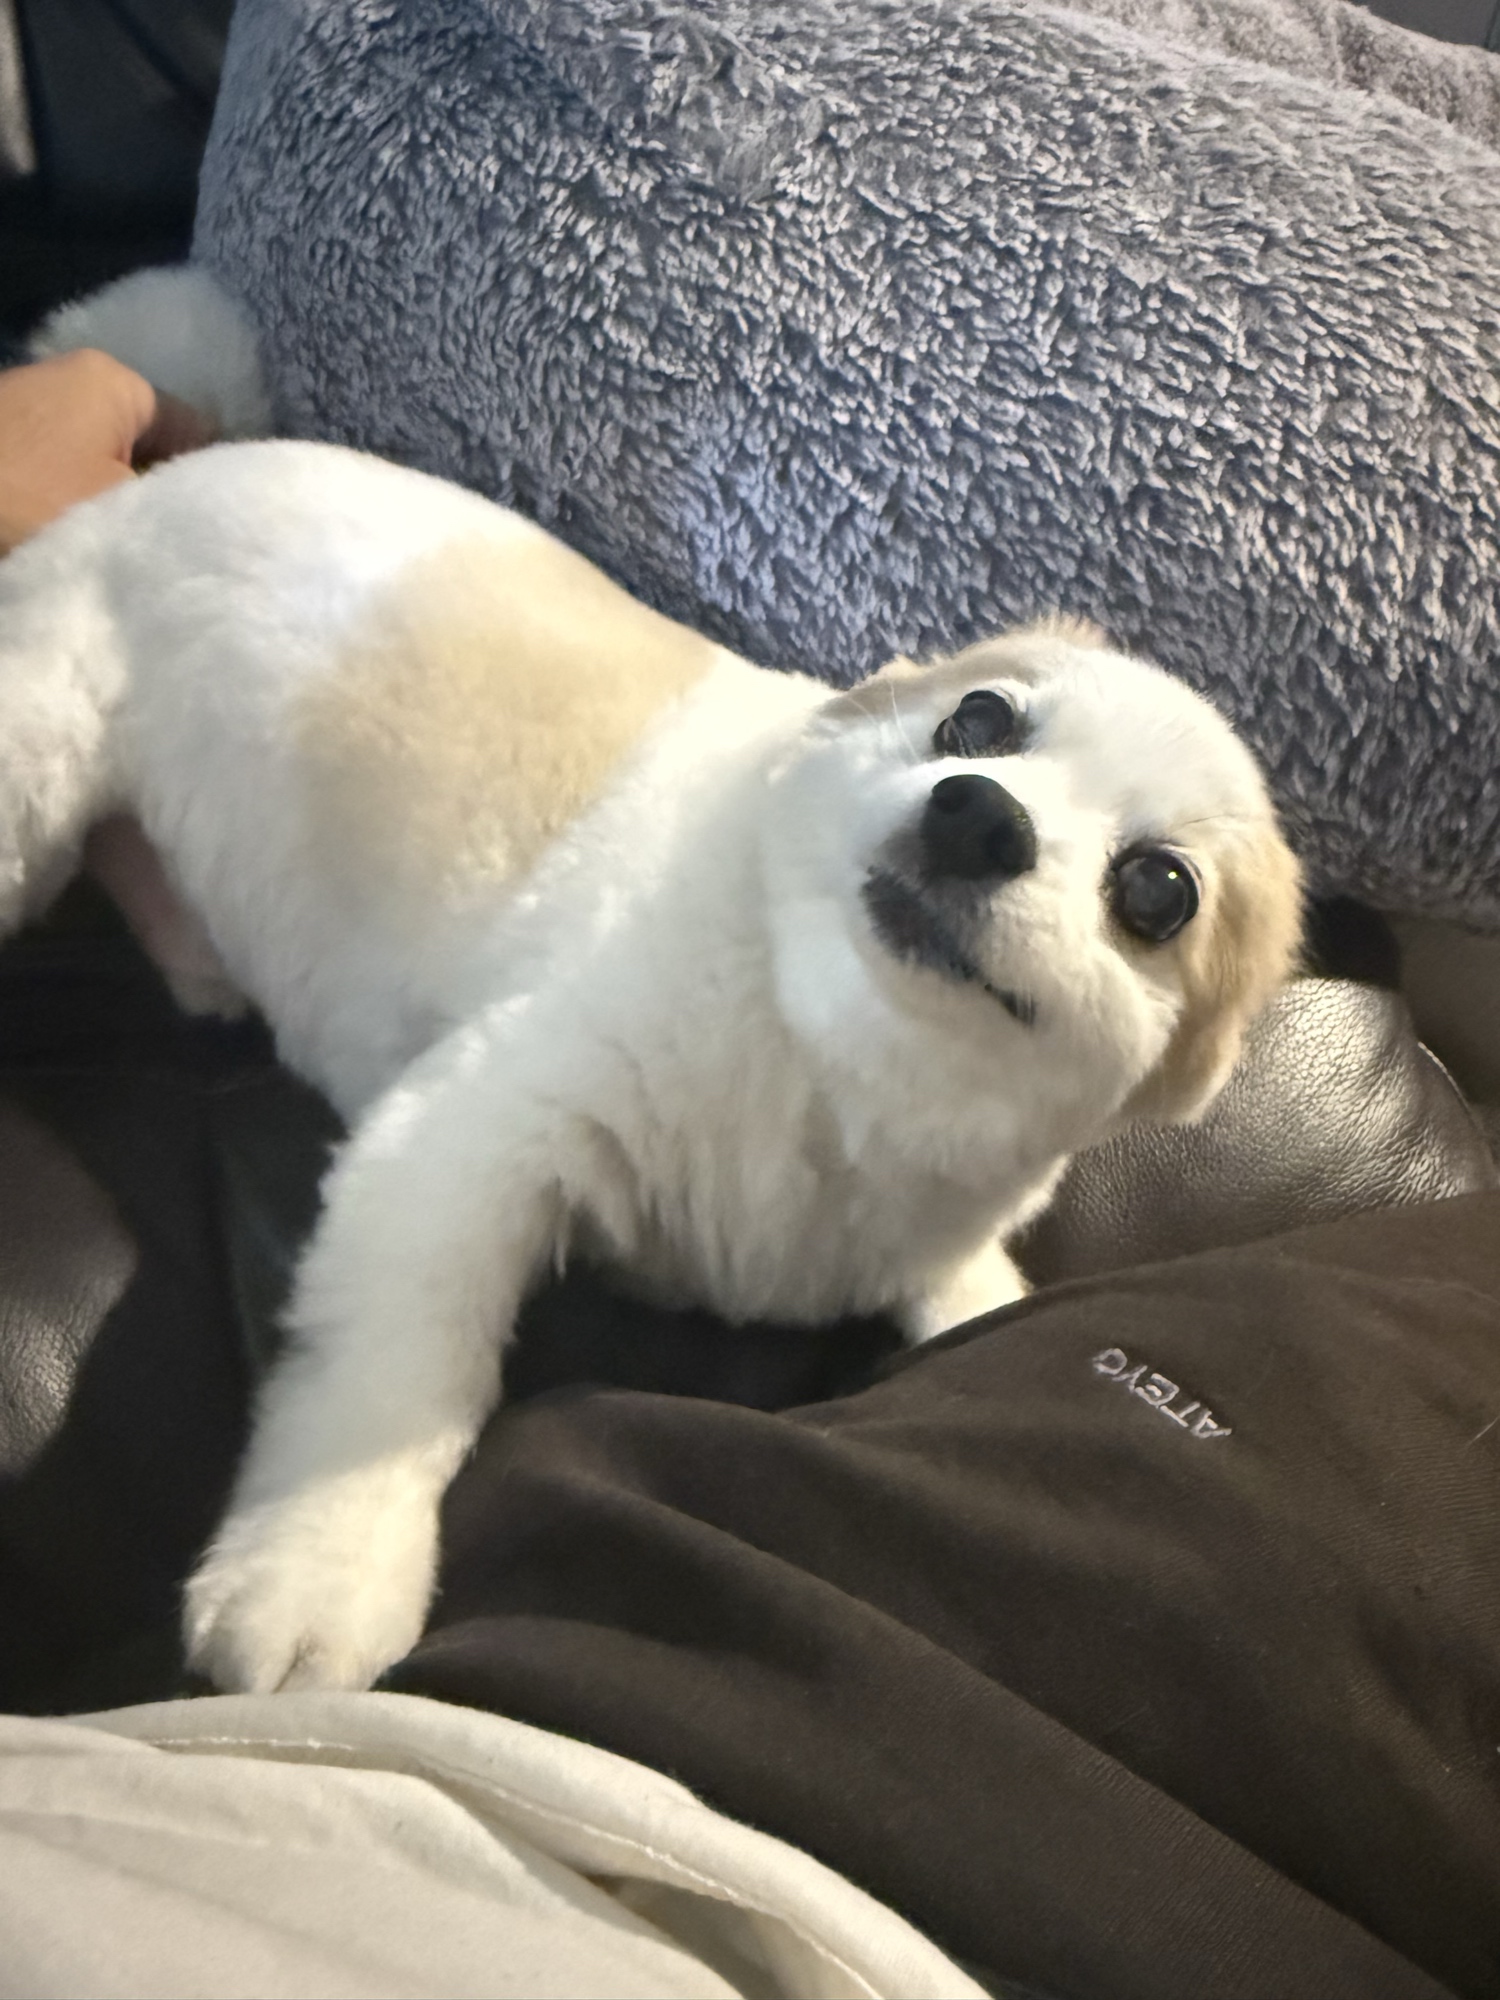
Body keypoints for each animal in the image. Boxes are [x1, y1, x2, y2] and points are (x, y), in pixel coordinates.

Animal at [0, 294, 1301, 1694]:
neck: (822, 1050)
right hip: (34, 766)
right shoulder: (466, 1140)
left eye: (1157, 891)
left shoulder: (923, 1237)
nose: (977, 813)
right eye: (978, 722)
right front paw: (317, 1573)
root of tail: (176, 470)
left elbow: (982, 1307)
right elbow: (395, 1380)